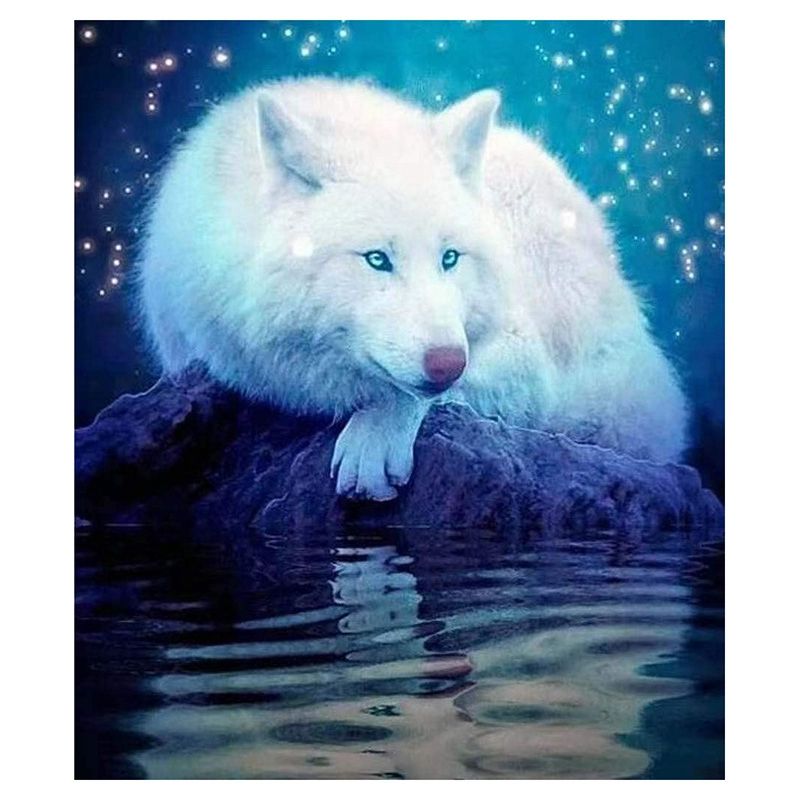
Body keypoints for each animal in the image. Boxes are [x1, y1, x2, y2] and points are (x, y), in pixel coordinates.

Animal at [139, 77, 687, 501]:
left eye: (450, 258)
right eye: (377, 259)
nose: (447, 363)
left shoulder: (521, 355)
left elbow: (407, 391)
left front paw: (377, 433)